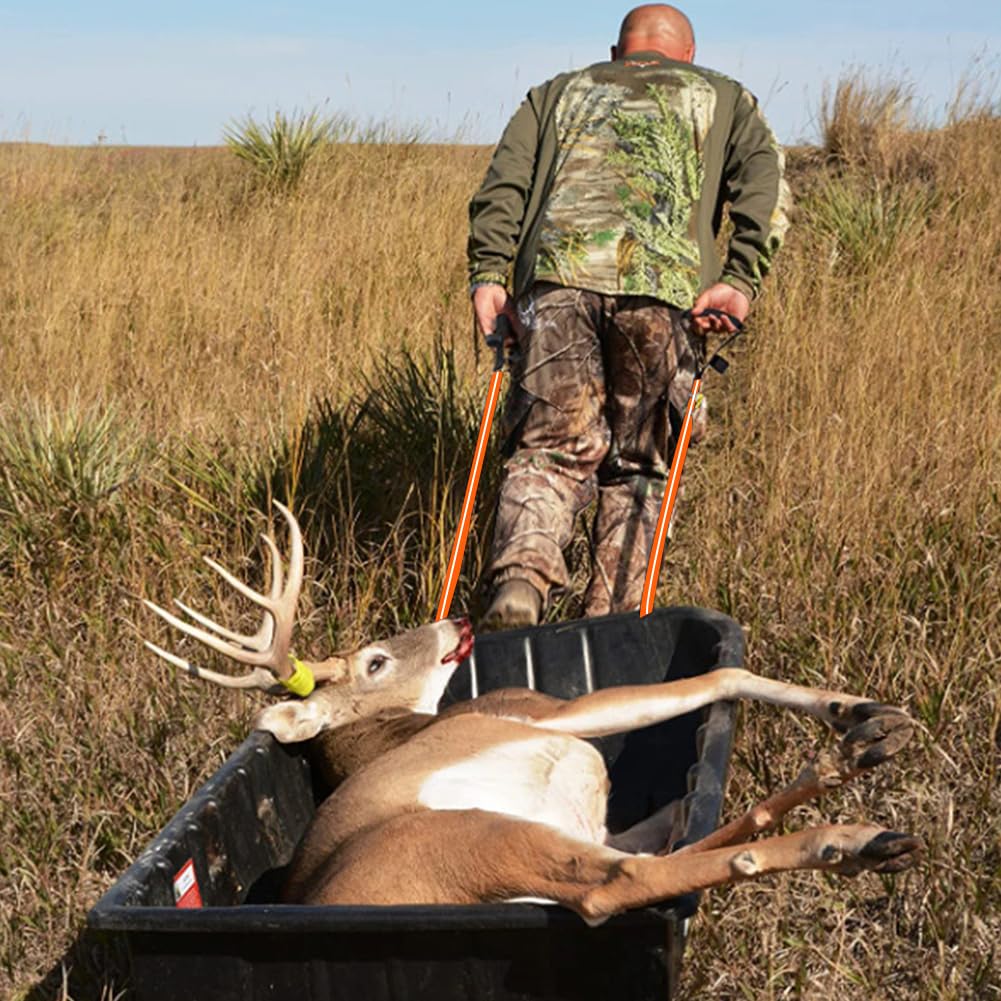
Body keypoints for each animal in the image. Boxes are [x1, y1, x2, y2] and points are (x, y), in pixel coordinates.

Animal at [143, 503, 920, 923]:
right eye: (375, 660)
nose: (457, 619)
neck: (404, 729)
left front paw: (862, 725)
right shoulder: (540, 712)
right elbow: (719, 673)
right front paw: (855, 705)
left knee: (671, 843)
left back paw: (848, 769)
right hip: (477, 837)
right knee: (623, 882)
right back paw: (857, 835)